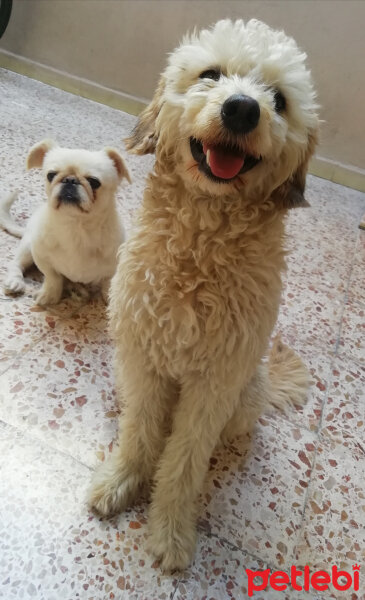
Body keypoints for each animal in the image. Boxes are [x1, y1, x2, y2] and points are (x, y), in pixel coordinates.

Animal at [0, 140, 130, 304]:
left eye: (94, 182)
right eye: (51, 175)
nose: (70, 180)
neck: (76, 227)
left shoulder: (113, 269)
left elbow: (107, 284)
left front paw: (110, 299)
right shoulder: (43, 259)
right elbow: (53, 278)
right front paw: (50, 295)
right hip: (28, 247)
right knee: (16, 263)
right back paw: (15, 282)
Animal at [89, 18, 318, 572]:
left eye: (279, 100)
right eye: (211, 74)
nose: (242, 108)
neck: (201, 244)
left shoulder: (214, 384)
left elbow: (185, 459)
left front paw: (170, 531)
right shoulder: (144, 356)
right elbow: (140, 432)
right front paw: (122, 480)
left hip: (240, 400)